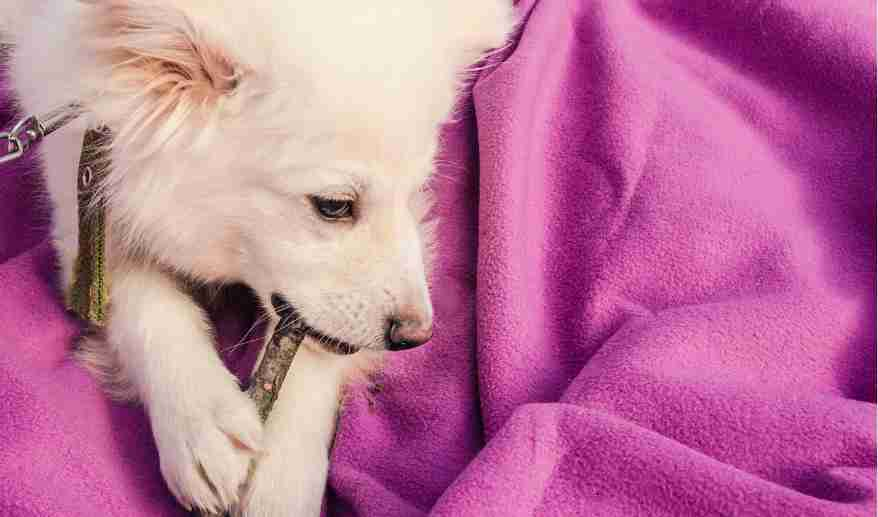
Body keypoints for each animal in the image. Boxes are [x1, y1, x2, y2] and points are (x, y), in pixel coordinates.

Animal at [1, 2, 516, 512]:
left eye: (413, 191)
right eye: (333, 206)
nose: (417, 337)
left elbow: (308, 352)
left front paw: (281, 480)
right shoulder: (84, 215)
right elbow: (147, 306)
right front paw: (199, 422)